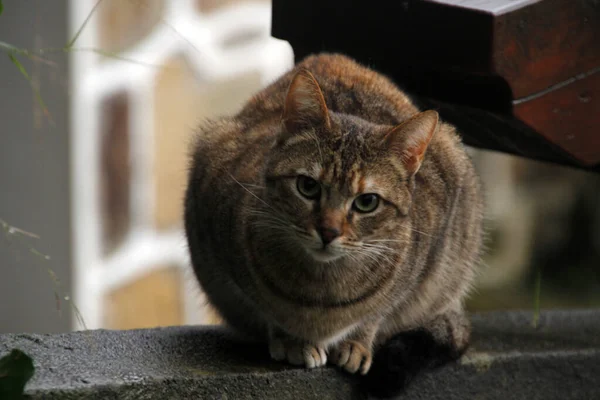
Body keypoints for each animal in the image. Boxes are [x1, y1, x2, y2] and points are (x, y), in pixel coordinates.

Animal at [185, 53, 486, 396]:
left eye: (367, 202)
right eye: (307, 186)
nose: (328, 232)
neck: (322, 293)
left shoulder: (423, 261)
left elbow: (380, 310)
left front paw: (358, 342)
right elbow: (265, 308)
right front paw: (292, 340)